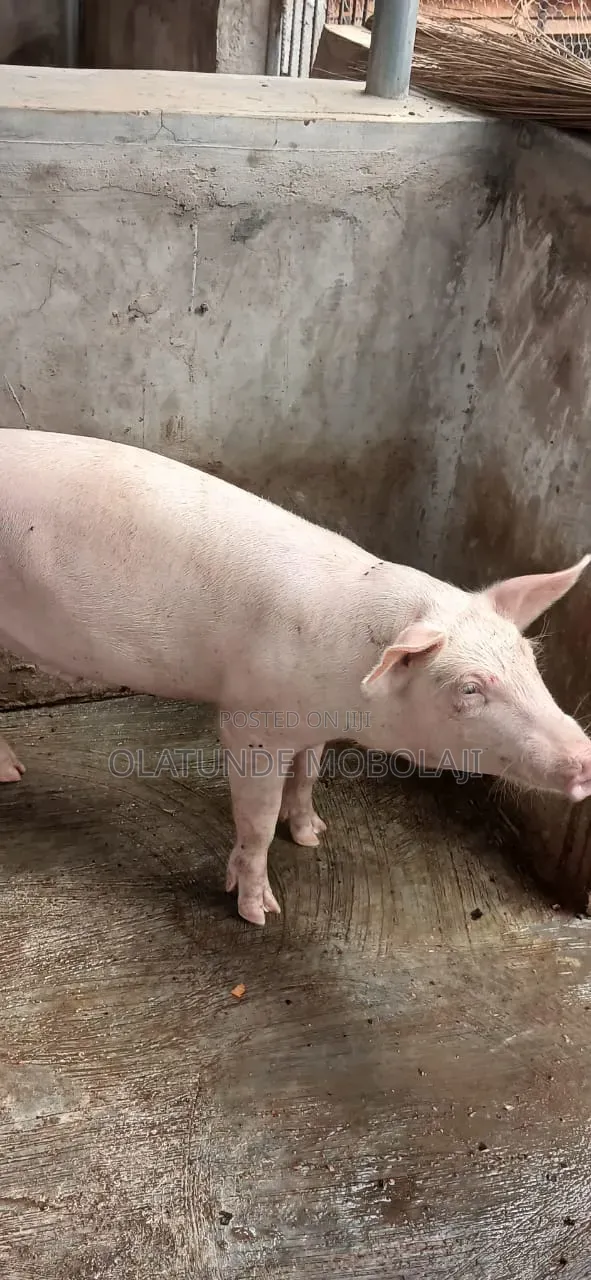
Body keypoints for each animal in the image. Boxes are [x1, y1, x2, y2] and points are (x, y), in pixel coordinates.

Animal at [0, 427, 590, 926]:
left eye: (530, 660)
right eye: (468, 689)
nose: (585, 758)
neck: (350, 687)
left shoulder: (311, 722)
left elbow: (307, 775)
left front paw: (312, 837)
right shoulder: (250, 722)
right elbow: (257, 821)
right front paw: (259, 913)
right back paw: (14, 774)